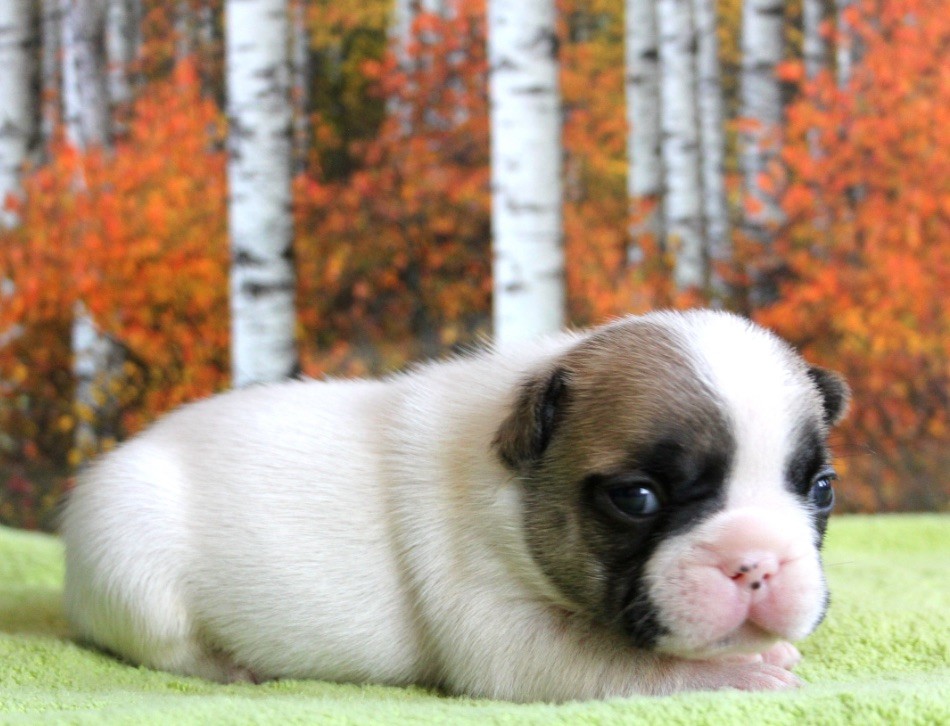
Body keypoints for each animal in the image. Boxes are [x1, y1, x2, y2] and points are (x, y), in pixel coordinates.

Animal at [61, 310, 849, 702]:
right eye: (638, 498)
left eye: (820, 488)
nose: (756, 562)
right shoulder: (507, 639)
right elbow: (621, 669)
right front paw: (741, 673)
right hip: (129, 562)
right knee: (163, 644)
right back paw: (230, 666)